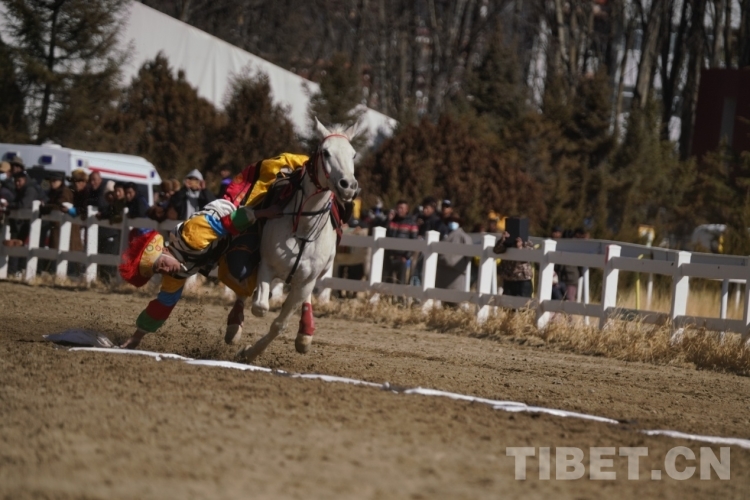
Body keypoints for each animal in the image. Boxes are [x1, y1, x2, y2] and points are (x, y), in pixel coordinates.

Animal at [236, 119, 359, 362]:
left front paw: (250, 353)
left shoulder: (306, 281)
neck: (303, 228)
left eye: (353, 154)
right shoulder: (266, 266)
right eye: (326, 152)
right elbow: (260, 306)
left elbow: (279, 323)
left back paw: (305, 334)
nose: (348, 185)